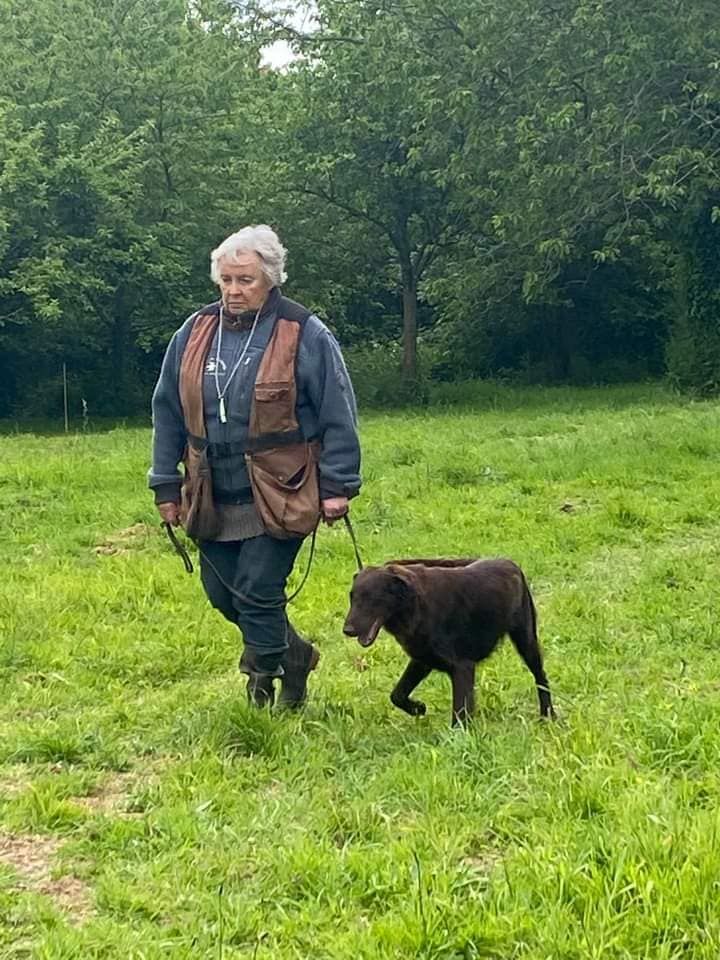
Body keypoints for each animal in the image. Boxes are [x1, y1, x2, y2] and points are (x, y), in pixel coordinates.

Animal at [340, 556, 556, 728]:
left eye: (371, 598)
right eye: (352, 597)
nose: (347, 630)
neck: (414, 604)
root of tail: (510, 562)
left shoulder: (462, 667)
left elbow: (459, 712)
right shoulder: (422, 660)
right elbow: (397, 694)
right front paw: (418, 708)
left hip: (526, 640)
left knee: (541, 678)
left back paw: (548, 715)